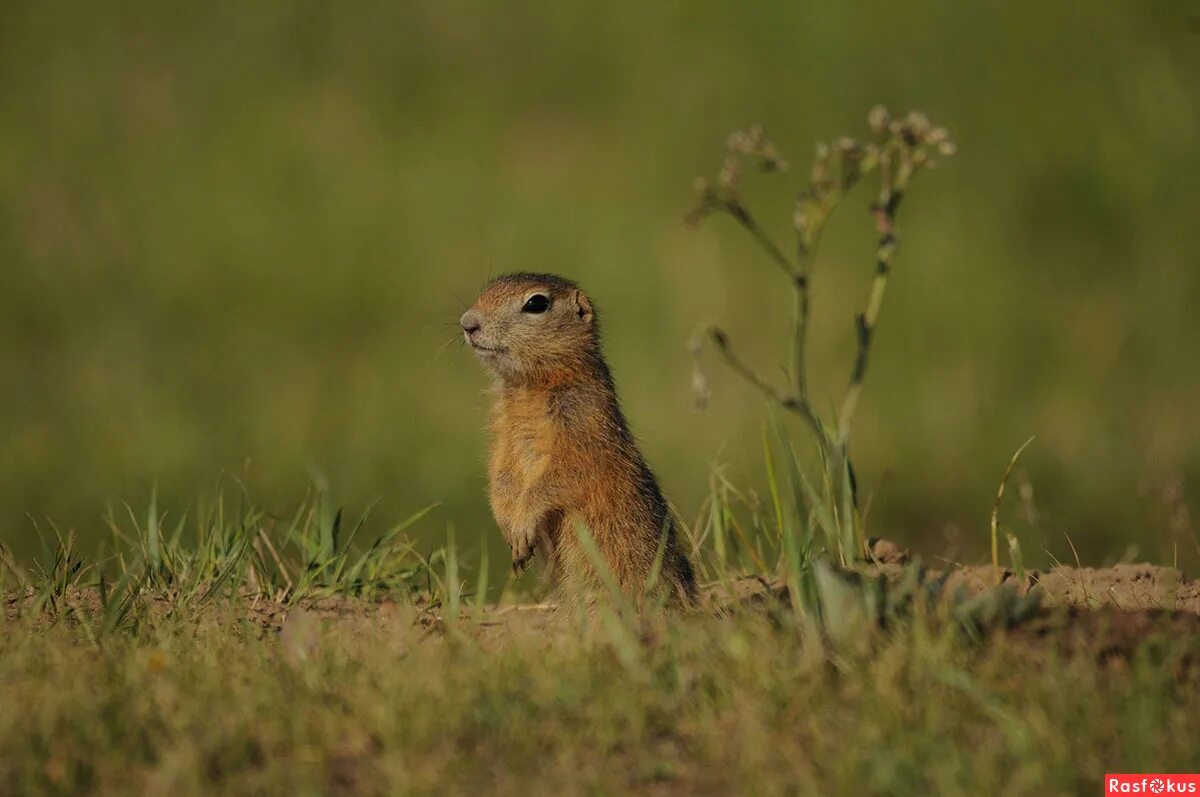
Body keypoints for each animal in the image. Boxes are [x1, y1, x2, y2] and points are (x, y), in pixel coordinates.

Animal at [463, 273, 700, 604]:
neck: (529, 384)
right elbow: (500, 469)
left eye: (536, 303)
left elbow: (564, 472)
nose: (467, 322)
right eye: (485, 291)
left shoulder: (581, 422)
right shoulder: (502, 427)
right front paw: (507, 525)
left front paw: (522, 526)